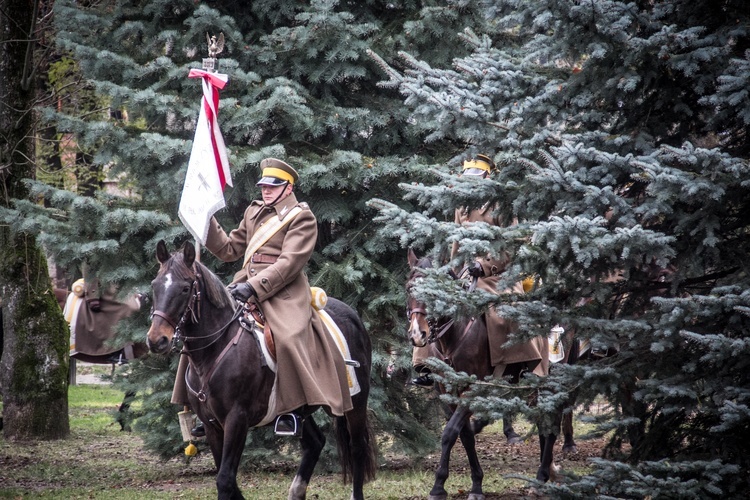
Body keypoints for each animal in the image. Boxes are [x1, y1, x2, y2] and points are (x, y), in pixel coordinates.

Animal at [146, 240, 376, 498]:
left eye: (185, 288)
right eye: (154, 286)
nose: (156, 340)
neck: (216, 348)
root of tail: (352, 314)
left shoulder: (237, 420)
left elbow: (225, 479)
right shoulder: (211, 425)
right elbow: (228, 480)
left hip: (355, 402)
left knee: (357, 447)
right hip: (297, 404)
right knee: (315, 442)